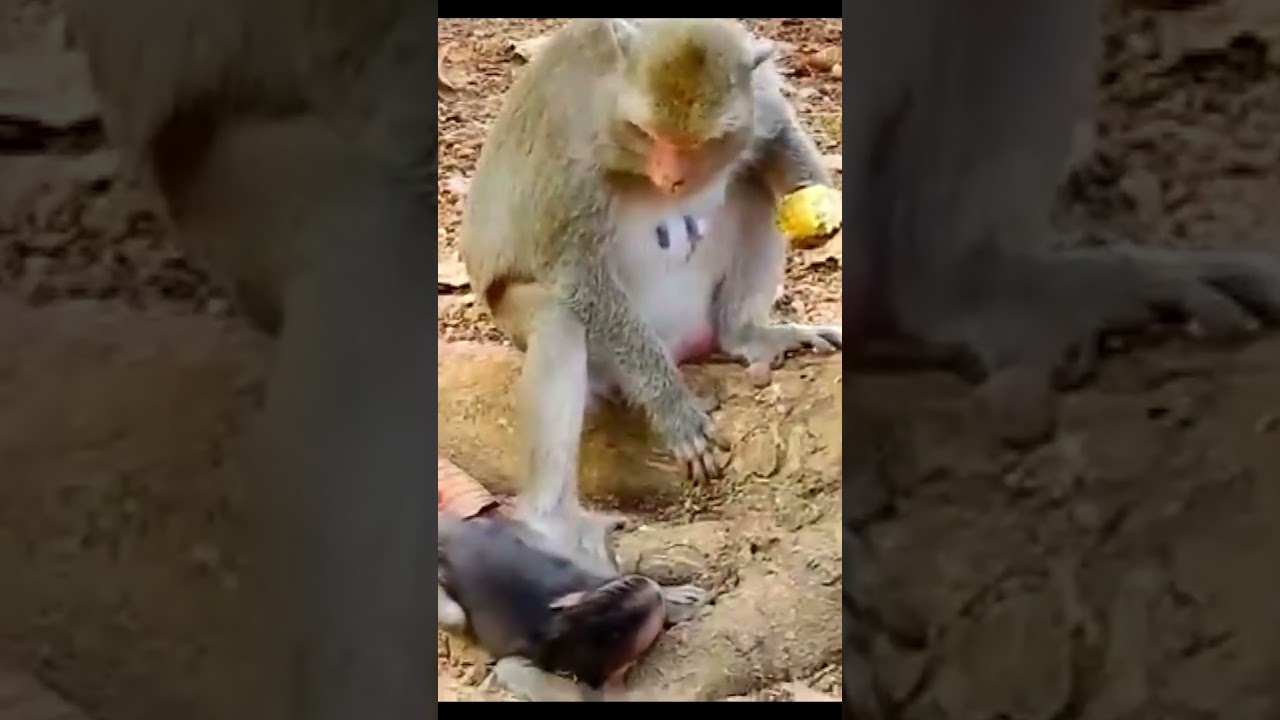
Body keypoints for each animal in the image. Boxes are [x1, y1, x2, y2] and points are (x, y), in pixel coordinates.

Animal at [459, 18, 843, 579]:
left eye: (702, 143)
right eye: (650, 134)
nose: (671, 178)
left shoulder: (755, 96)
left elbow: (772, 137)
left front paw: (819, 207)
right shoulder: (572, 143)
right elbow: (579, 269)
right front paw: (673, 408)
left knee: (749, 180)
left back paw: (745, 333)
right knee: (557, 318)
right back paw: (554, 523)